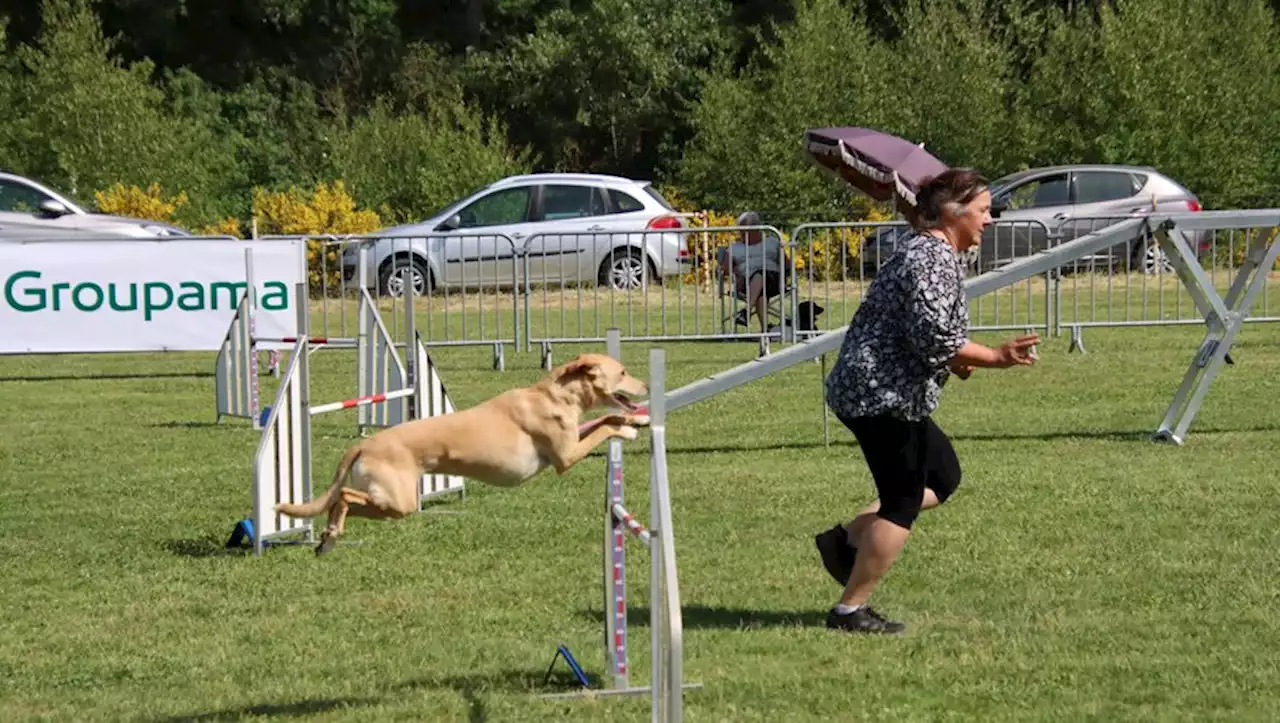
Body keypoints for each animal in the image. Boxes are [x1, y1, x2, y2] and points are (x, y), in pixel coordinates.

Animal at [271, 353, 650, 555]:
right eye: (623, 371)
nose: (647, 385)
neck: (555, 396)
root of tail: (365, 443)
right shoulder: (566, 457)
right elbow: (605, 425)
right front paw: (629, 427)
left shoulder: (571, 441)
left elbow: (603, 419)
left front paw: (638, 418)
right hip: (397, 501)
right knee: (344, 497)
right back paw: (331, 535)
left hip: (393, 504)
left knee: (340, 501)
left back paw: (326, 540)